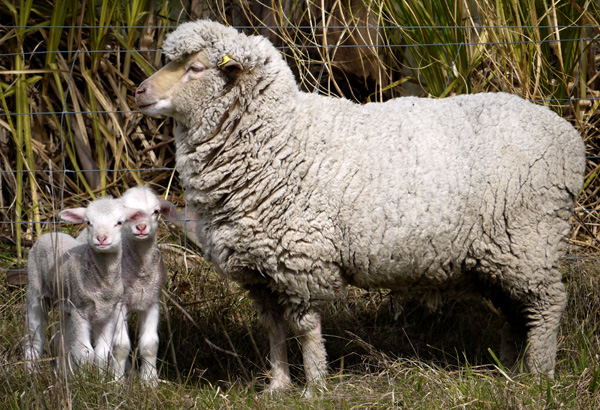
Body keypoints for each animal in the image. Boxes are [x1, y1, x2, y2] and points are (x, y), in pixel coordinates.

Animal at [25, 197, 148, 374]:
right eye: (89, 222)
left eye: (119, 222)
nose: (101, 238)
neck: (102, 283)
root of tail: (49, 234)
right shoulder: (80, 310)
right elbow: (85, 352)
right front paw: (84, 378)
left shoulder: (108, 313)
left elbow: (102, 352)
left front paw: (99, 376)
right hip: (35, 288)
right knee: (34, 335)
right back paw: (31, 371)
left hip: (65, 303)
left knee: (62, 335)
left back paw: (63, 372)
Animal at [135, 20, 584, 392]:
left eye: (196, 69)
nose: (139, 91)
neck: (278, 136)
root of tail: (568, 136)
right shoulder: (259, 268)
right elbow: (274, 330)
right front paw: (277, 387)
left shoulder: (300, 259)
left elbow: (305, 330)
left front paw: (315, 387)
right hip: (498, 254)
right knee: (516, 311)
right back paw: (508, 370)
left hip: (530, 240)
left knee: (547, 305)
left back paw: (539, 375)